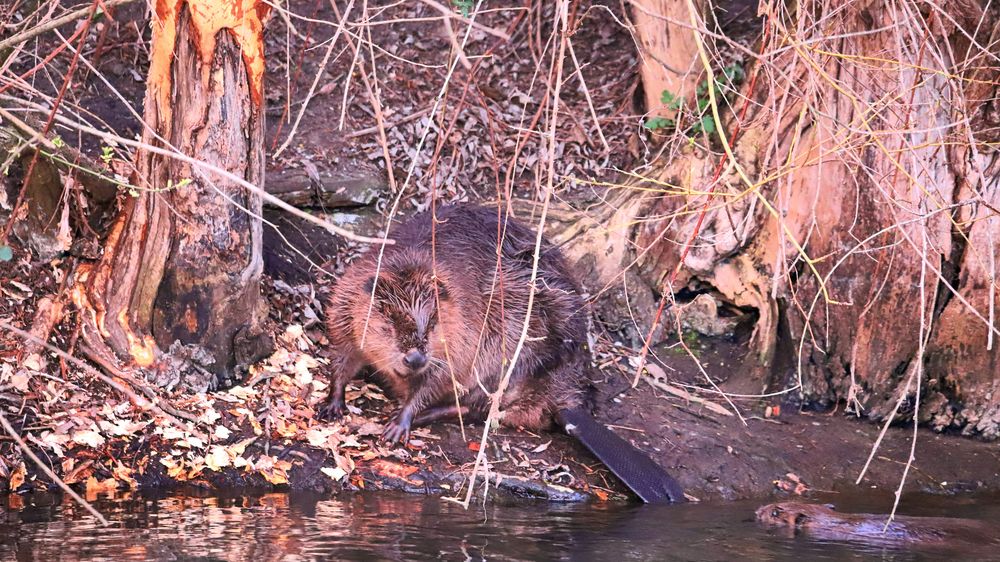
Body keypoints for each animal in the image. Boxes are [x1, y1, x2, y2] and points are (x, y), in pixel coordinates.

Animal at [324, 203, 684, 500]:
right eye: (389, 324)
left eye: (432, 325)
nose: (415, 358)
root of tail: (567, 403)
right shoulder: (346, 302)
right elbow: (342, 353)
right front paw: (332, 404)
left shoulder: (465, 336)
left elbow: (435, 382)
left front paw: (398, 424)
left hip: (513, 351)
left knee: (480, 408)